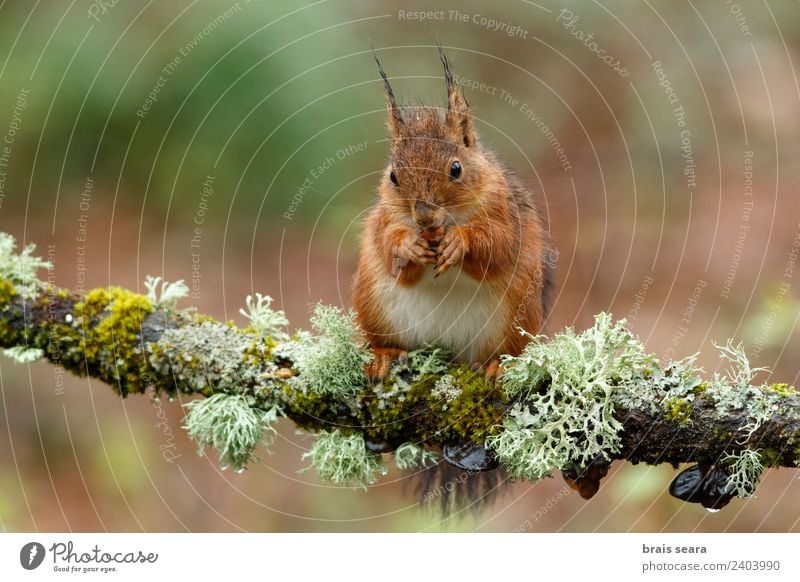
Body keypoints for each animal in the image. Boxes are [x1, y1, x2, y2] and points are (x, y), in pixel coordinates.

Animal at [354, 48, 552, 380]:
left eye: (456, 169)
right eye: (393, 176)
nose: (424, 217)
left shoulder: (507, 213)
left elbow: (499, 246)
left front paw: (460, 241)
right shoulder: (384, 219)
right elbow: (389, 246)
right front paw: (409, 244)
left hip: (517, 320)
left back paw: (497, 365)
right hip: (373, 307)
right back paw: (383, 356)